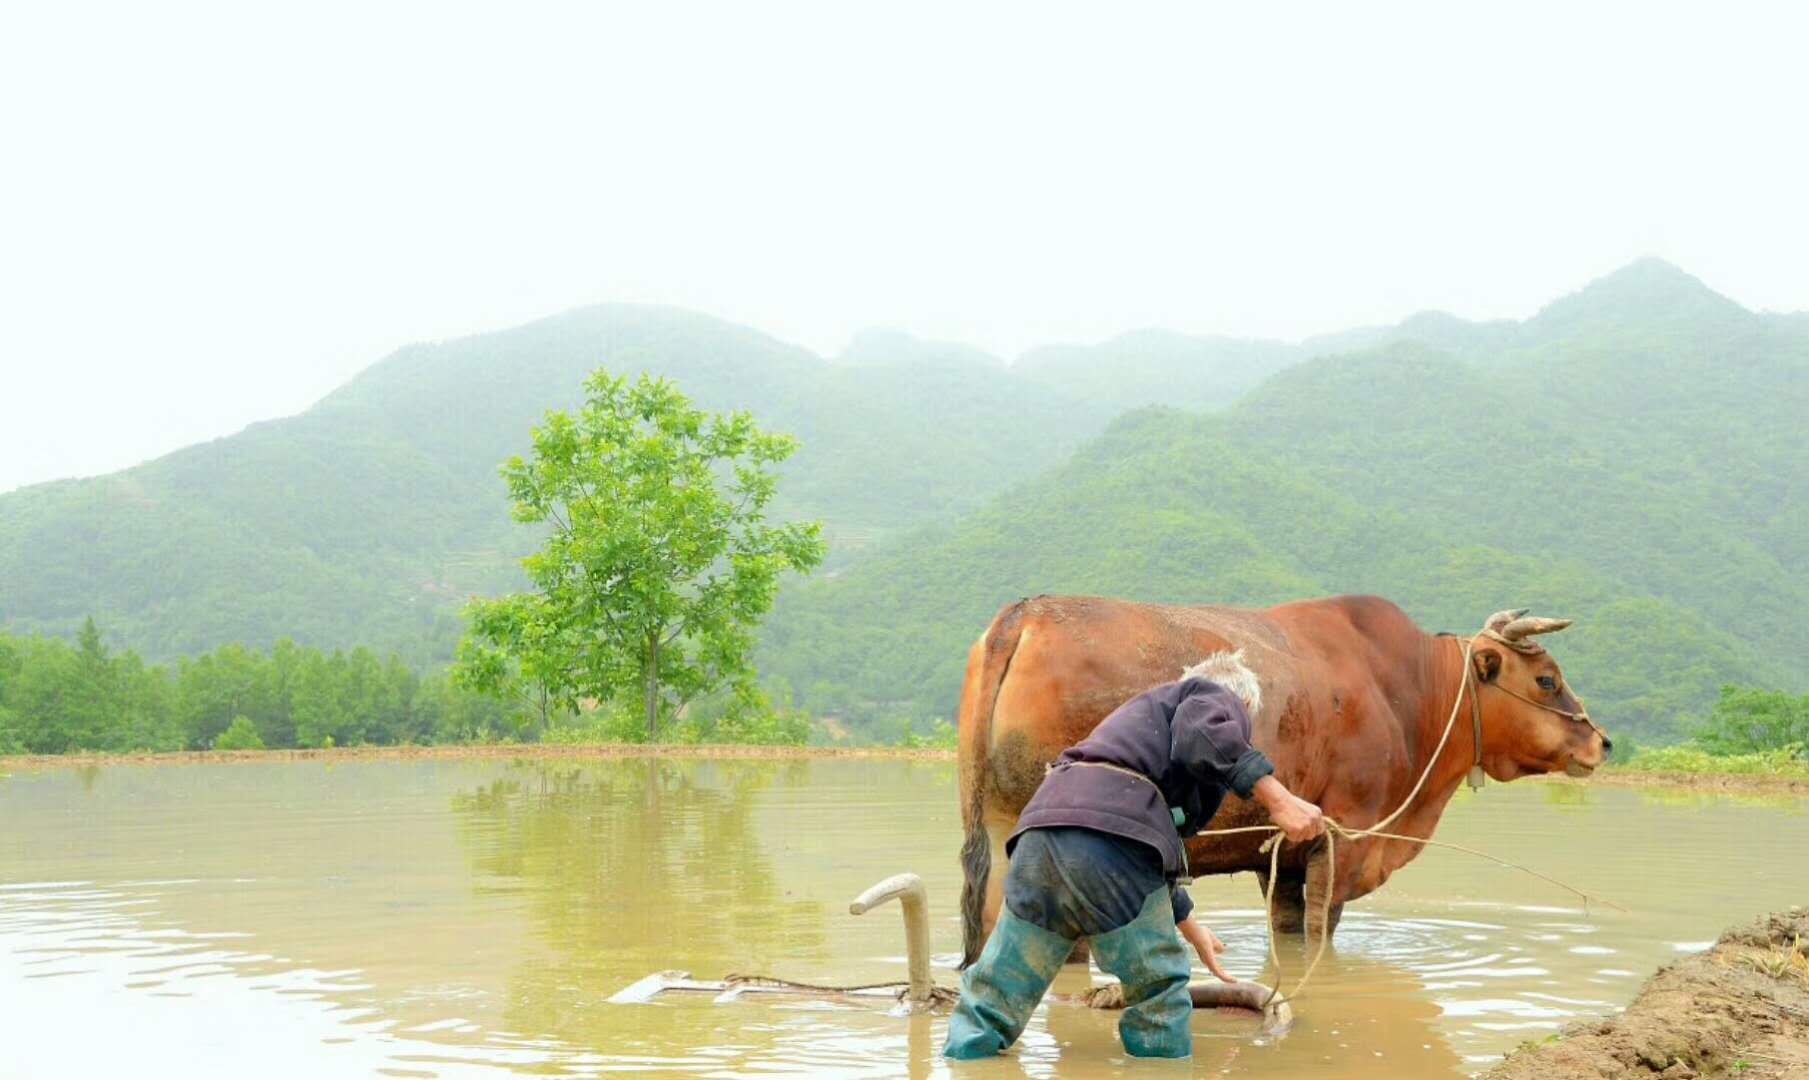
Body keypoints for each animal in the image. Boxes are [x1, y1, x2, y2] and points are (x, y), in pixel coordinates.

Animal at [962, 596, 1613, 962]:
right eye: (1548, 680)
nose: (1600, 742)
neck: (1405, 690)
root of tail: (1026, 614)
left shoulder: (1281, 861)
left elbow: (1289, 931)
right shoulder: (1344, 842)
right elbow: (1322, 933)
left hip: (998, 832)